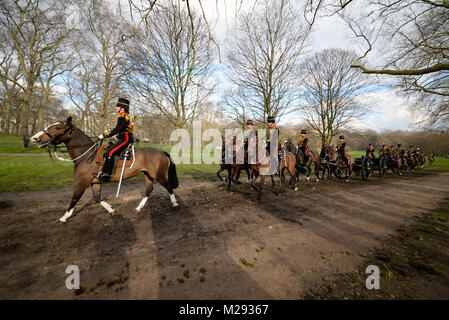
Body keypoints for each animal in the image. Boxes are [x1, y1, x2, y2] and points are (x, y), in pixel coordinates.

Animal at [30, 116, 178, 224]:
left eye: (58, 127)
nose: (35, 138)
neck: (86, 155)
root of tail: (161, 152)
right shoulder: (95, 182)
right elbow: (96, 198)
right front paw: (111, 210)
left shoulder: (81, 183)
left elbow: (74, 199)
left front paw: (64, 217)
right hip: (147, 175)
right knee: (149, 190)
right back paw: (139, 207)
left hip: (159, 176)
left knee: (169, 187)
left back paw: (175, 203)